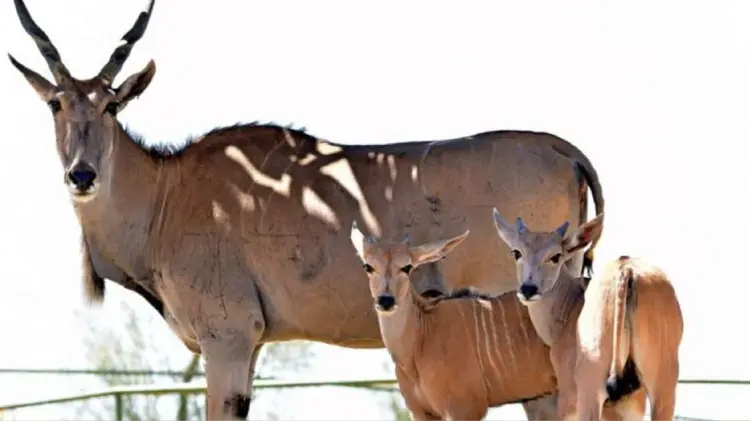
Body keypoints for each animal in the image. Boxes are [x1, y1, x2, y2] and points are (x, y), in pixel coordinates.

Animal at [349, 222, 628, 421]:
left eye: (406, 267)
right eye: (368, 266)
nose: (386, 300)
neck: (421, 339)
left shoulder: (464, 408)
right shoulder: (421, 413)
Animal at [491, 210, 683, 421]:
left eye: (556, 256)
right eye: (516, 252)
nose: (528, 289)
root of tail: (626, 271)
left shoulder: (568, 399)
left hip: (590, 388)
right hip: (663, 386)